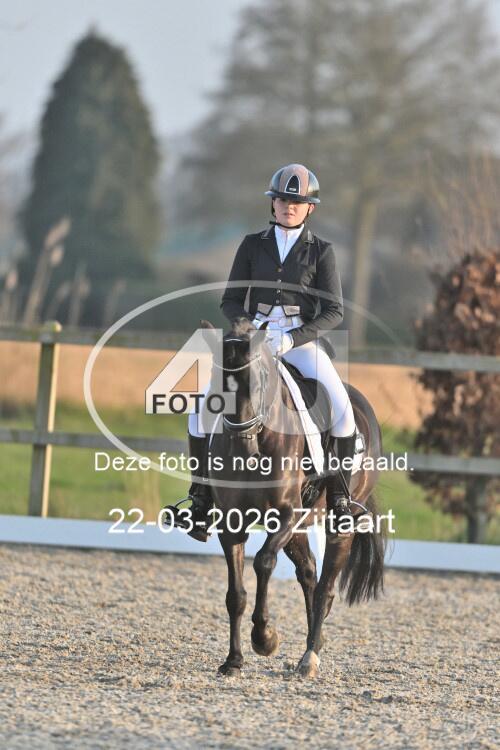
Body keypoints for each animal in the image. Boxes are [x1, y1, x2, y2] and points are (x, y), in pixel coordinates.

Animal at [200, 317, 385, 678]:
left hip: (338, 523)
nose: (243, 443)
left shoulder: (285, 514)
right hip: (301, 524)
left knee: (325, 586)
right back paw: (314, 644)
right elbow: (235, 594)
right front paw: (233, 660)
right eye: (217, 381)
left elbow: (263, 561)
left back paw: (309, 657)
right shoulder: (232, 522)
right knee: (309, 573)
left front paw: (265, 638)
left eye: (259, 379)